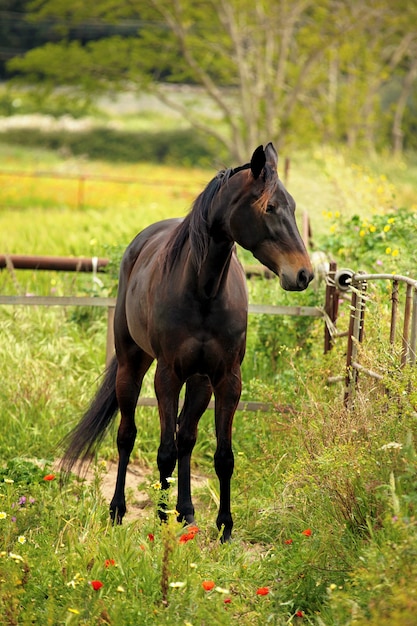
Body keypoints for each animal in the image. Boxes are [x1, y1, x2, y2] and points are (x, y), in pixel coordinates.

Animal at [61, 144, 312, 540]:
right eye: (270, 207)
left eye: (292, 206)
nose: (303, 274)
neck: (204, 290)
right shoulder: (167, 375)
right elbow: (163, 451)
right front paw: (161, 518)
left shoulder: (227, 379)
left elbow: (222, 456)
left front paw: (224, 527)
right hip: (132, 366)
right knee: (127, 435)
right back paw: (119, 509)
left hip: (199, 382)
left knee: (186, 438)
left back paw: (187, 511)